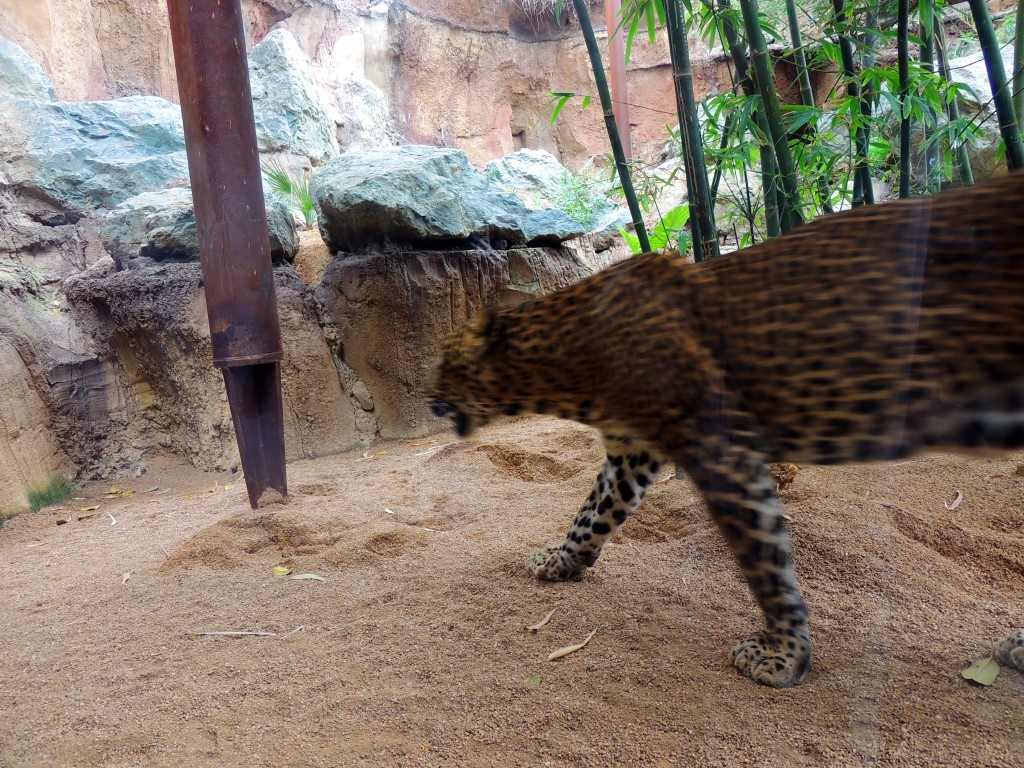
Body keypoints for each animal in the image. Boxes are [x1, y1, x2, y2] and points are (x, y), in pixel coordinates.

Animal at [425, 171, 1024, 688]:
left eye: (444, 360)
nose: (425, 398)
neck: (567, 365)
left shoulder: (721, 452)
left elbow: (768, 567)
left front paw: (784, 656)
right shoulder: (632, 452)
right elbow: (592, 514)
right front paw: (561, 561)